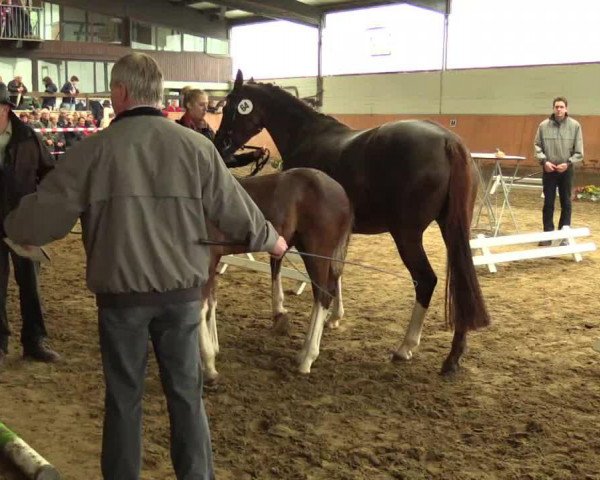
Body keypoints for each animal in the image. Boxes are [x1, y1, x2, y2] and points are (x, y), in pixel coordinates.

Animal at [199, 167, 354, 380]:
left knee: (323, 295)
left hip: (318, 253)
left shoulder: (207, 258)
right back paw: (303, 353)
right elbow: (211, 302)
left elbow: (202, 307)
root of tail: (342, 193)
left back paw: (307, 359)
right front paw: (213, 350)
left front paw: (208, 365)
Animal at [216, 70, 492, 376]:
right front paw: (334, 317)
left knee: (426, 281)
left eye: (230, 107)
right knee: (463, 284)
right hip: (452, 230)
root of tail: (448, 142)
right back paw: (453, 356)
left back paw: (405, 346)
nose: (220, 144)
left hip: (407, 235)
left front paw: (280, 312)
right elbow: (337, 271)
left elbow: (279, 263)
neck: (307, 135)